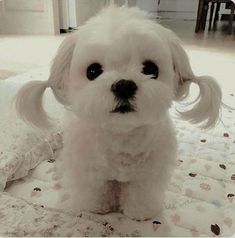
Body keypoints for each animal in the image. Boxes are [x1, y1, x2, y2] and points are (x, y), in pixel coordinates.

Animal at [15, 6, 221, 221]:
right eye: (93, 71)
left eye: (151, 69)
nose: (124, 86)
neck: (121, 134)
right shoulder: (90, 171)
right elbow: (95, 189)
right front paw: (97, 208)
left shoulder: (148, 174)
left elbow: (141, 192)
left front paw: (140, 213)